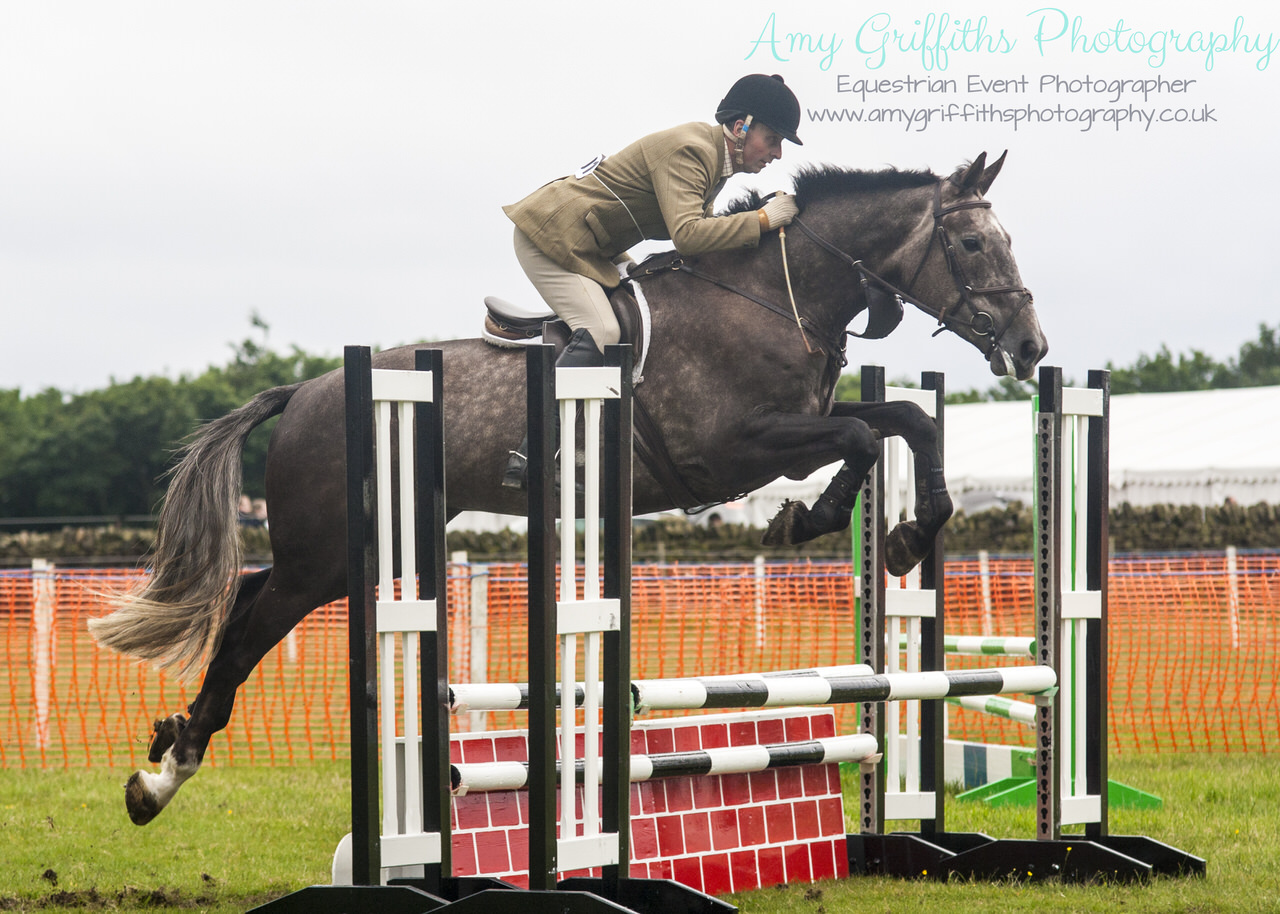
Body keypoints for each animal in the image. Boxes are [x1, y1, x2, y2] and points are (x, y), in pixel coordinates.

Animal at [92, 151, 1049, 824]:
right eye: (972, 243)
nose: (1032, 347)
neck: (774, 296)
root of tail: (307, 390)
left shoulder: (793, 426)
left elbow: (907, 422)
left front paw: (907, 533)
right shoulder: (735, 449)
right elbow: (857, 437)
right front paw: (808, 517)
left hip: (359, 546)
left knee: (247, 596)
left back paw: (167, 755)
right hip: (331, 553)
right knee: (248, 623)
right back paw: (162, 776)